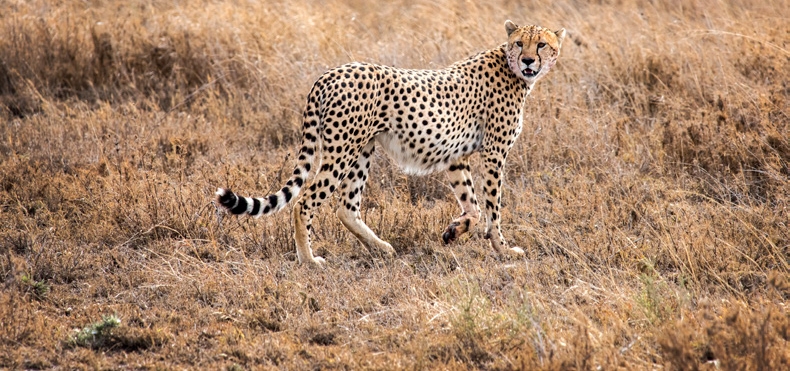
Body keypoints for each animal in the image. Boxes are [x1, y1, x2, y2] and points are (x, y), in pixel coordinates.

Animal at [213, 20, 568, 266]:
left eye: (542, 45)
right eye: (520, 43)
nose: (528, 61)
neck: (512, 70)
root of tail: (331, 72)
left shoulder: (456, 156)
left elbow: (474, 206)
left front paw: (454, 230)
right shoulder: (494, 153)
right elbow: (493, 208)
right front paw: (503, 249)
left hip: (362, 150)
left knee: (346, 206)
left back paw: (380, 248)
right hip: (342, 150)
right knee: (306, 200)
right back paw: (308, 259)